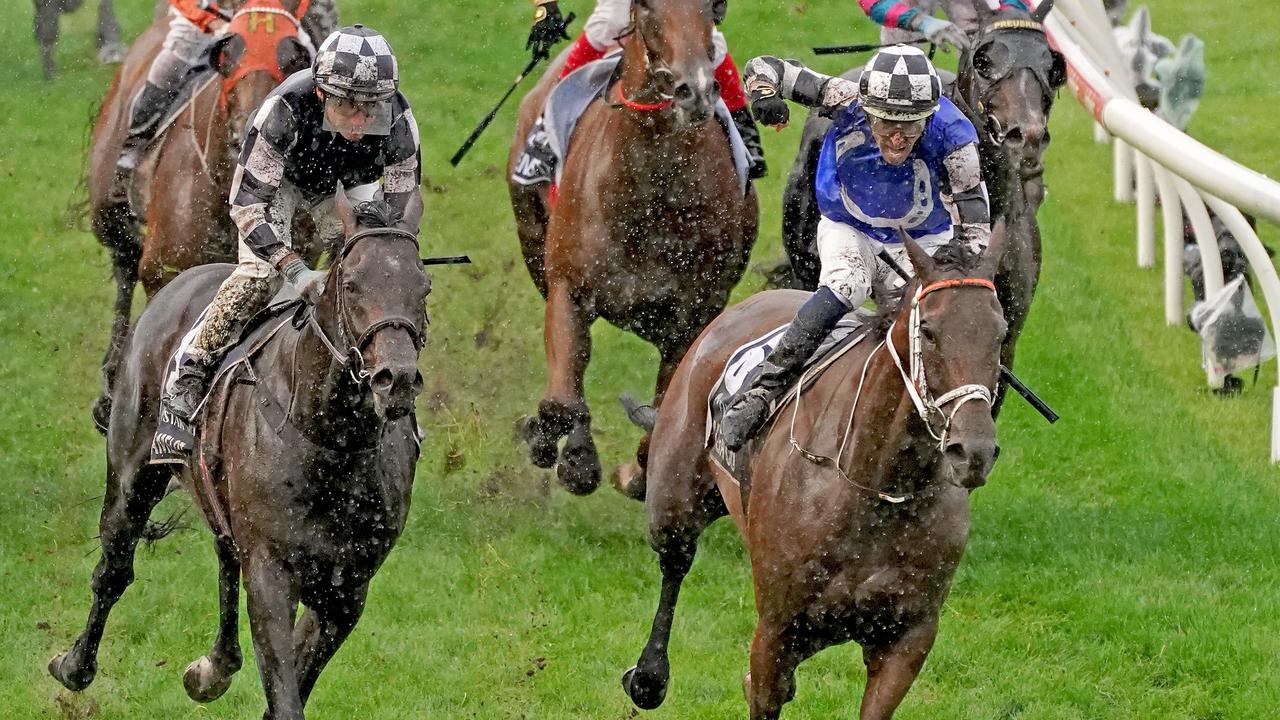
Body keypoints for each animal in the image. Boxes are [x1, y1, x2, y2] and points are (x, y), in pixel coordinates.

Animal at [49, 190, 430, 717]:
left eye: (423, 287)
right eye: (351, 285)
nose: (397, 378)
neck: (330, 443)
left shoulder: (347, 590)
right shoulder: (271, 572)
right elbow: (284, 692)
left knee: (224, 553)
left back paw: (214, 668)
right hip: (132, 474)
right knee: (114, 569)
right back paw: (75, 666)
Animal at [88, 0, 313, 425]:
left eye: (295, 56)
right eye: (226, 53)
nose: (254, 129)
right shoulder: (165, 271)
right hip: (106, 210)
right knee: (123, 264)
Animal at [504, 0, 752, 491]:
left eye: (709, 8)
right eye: (649, 7)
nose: (694, 91)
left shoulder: (694, 315)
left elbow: (662, 422)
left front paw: (635, 471)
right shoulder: (568, 288)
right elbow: (561, 402)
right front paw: (565, 450)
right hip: (532, 241)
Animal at [622, 229, 1008, 717]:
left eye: (1000, 333)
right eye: (930, 331)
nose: (972, 451)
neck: (879, 487)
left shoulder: (908, 636)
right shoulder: (776, 631)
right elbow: (762, 689)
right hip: (674, 502)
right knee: (675, 562)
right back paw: (648, 676)